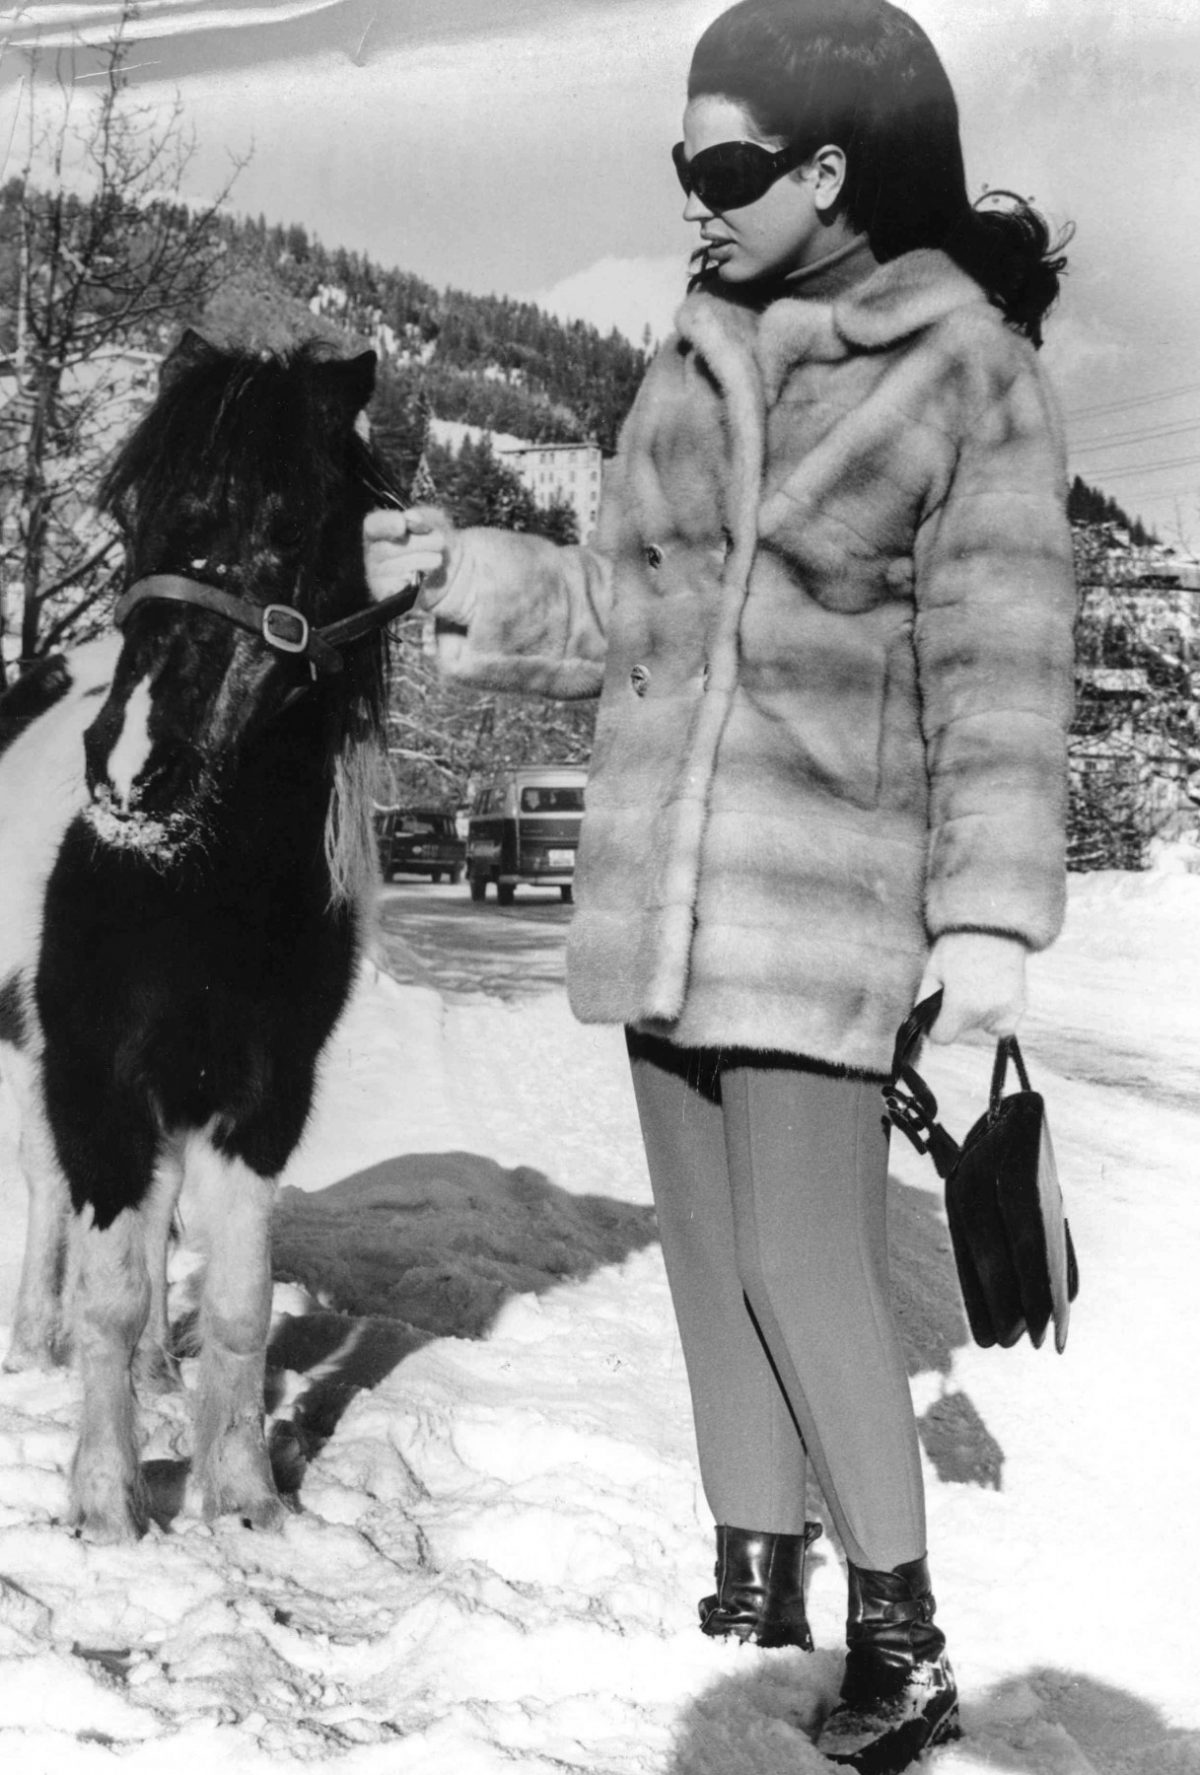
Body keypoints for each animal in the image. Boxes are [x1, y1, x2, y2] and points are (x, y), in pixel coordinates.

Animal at [0, 330, 411, 1540]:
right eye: (132, 514)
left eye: (290, 526)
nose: (132, 766)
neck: (198, 892)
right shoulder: (94, 1078)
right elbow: (109, 1289)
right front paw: (106, 1506)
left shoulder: (260, 1100)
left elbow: (234, 1299)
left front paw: (245, 1498)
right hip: (38, 1061)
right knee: (51, 1197)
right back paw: (36, 1346)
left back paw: (153, 1377)